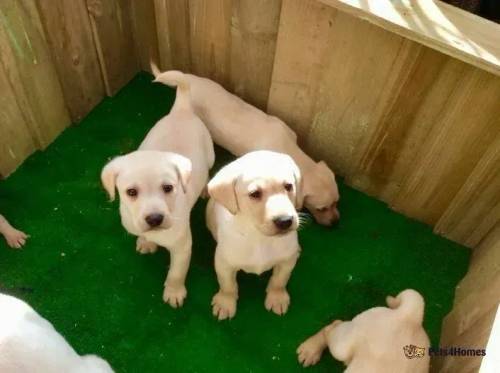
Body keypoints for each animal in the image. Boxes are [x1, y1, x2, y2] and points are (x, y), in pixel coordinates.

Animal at [205, 150, 302, 318]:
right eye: (255, 194)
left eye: (288, 186)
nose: (285, 221)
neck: (259, 238)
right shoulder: (224, 264)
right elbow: (227, 285)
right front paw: (225, 302)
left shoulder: (286, 261)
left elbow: (280, 280)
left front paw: (277, 297)